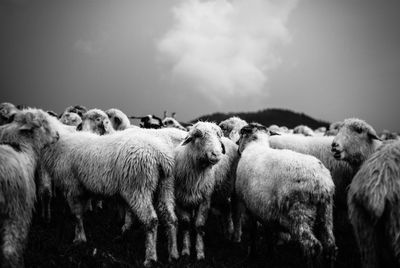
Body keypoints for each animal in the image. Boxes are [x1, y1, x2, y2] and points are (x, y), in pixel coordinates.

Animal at [41, 118, 178, 266]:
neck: (59, 145)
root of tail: (160, 155)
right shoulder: (83, 189)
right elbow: (82, 212)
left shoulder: (72, 187)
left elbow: (76, 215)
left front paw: (79, 239)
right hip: (165, 186)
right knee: (170, 218)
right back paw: (173, 254)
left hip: (138, 187)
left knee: (151, 221)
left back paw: (150, 258)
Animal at [175, 121, 228, 260]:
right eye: (198, 135)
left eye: (218, 136)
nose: (216, 154)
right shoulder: (179, 200)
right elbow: (186, 224)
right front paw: (186, 250)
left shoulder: (205, 200)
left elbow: (199, 225)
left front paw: (199, 252)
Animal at [236, 123, 336, 266]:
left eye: (241, 135)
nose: (236, 145)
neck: (255, 145)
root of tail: (321, 182)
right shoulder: (266, 210)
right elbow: (269, 234)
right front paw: (271, 254)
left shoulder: (249, 207)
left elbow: (253, 233)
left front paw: (253, 255)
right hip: (326, 213)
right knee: (330, 245)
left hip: (299, 214)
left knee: (312, 246)